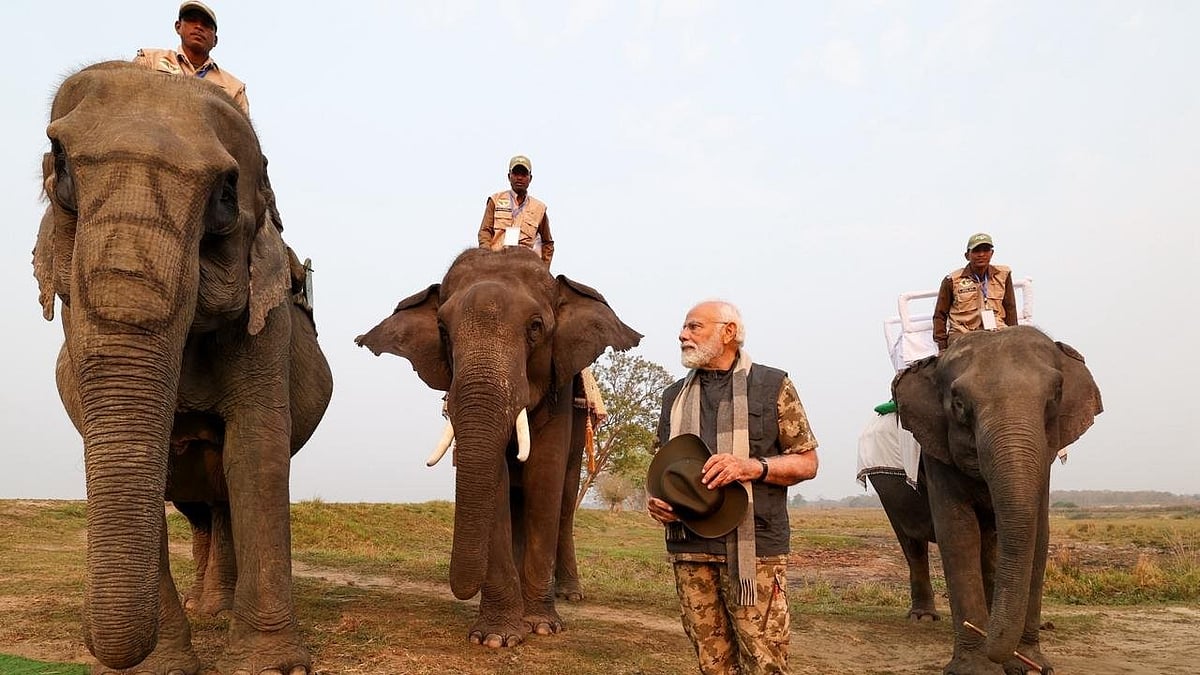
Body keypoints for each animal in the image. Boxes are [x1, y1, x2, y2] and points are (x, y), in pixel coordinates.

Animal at [33, 62, 333, 675]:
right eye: (61, 167)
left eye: (225, 194)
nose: (88, 635)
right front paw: (160, 667)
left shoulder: (266, 321)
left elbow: (256, 453)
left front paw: (274, 667)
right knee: (198, 506)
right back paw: (206, 608)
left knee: (222, 499)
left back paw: (218, 609)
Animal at [356, 246, 641, 647]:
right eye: (443, 331)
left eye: (536, 327)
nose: (461, 588)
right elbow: (498, 483)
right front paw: (495, 637)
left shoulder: (560, 389)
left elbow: (544, 477)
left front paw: (542, 626)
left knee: (565, 501)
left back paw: (570, 594)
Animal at [893, 325, 1101, 675]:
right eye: (959, 404)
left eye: (1055, 396)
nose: (1008, 660)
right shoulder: (936, 449)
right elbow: (958, 533)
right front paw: (977, 668)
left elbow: (1038, 535)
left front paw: (1031, 665)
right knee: (912, 542)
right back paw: (922, 619)